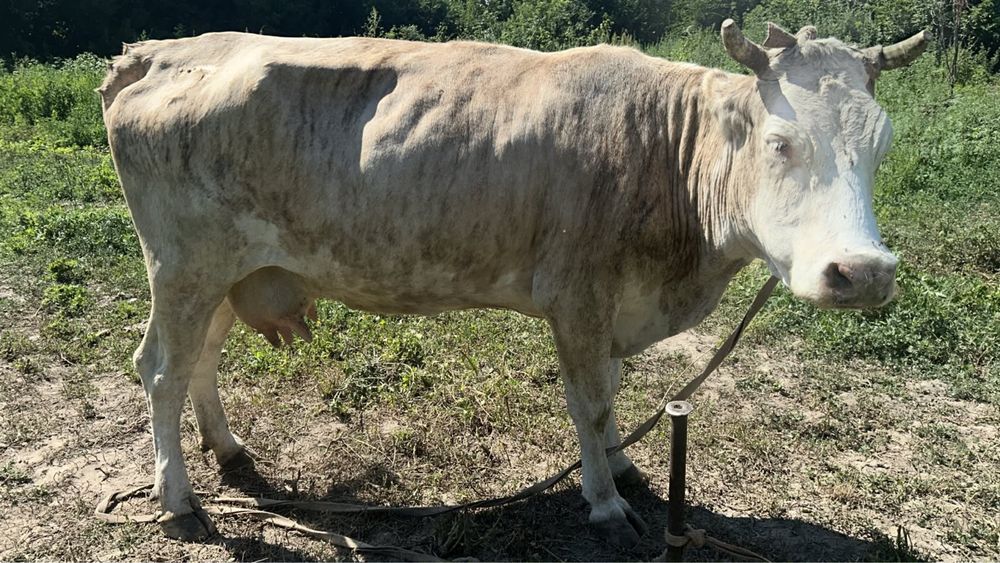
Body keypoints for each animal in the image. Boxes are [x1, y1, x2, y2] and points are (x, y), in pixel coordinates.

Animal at [98, 20, 927, 546]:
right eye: (782, 142)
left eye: (884, 142)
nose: (863, 272)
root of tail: (160, 51)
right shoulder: (578, 295)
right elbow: (591, 400)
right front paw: (604, 502)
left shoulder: (608, 303)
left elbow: (610, 389)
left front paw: (623, 465)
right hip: (184, 262)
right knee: (161, 369)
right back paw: (178, 500)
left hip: (229, 269)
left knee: (201, 358)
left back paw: (228, 448)